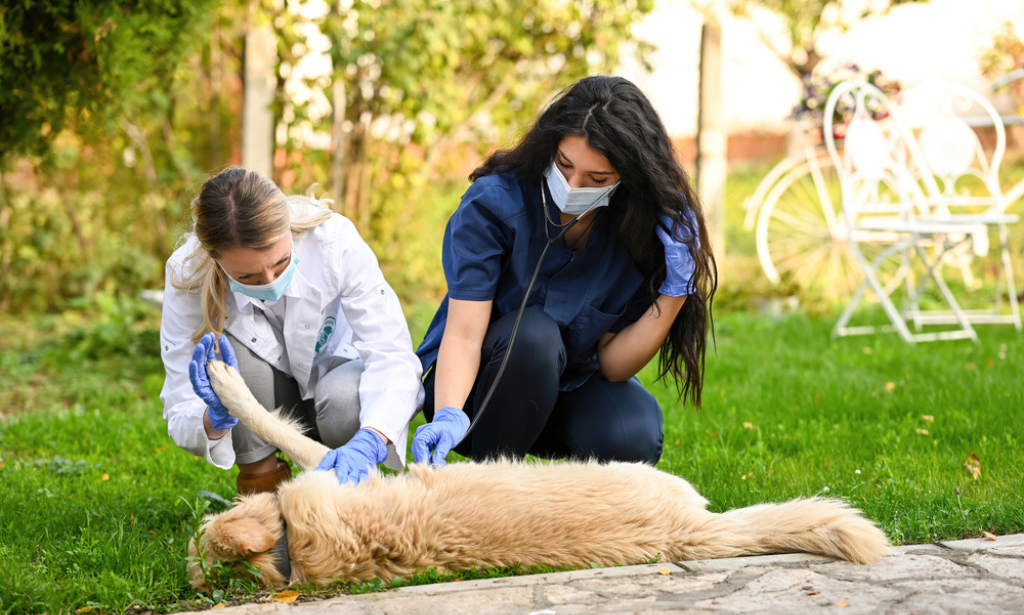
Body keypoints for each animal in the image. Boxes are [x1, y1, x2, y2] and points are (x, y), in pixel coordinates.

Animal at [188, 360, 892, 589]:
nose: (204, 509)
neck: (290, 550)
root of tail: (691, 532)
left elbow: (279, 425)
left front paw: (219, 380)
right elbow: (278, 424)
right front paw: (223, 382)